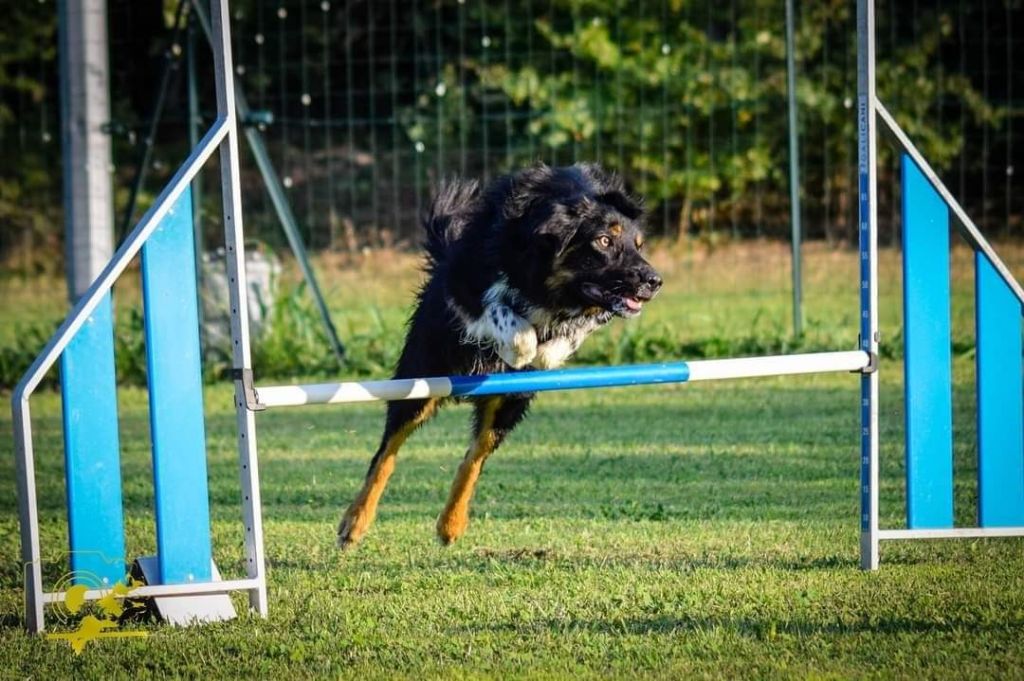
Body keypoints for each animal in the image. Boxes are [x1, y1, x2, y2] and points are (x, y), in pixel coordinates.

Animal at [335, 163, 663, 548]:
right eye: (604, 241)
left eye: (638, 245)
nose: (654, 281)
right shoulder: (465, 279)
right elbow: (500, 311)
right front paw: (519, 343)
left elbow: (569, 333)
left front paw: (547, 350)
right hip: (420, 380)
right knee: (386, 453)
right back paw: (355, 522)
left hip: (506, 406)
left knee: (473, 457)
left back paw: (451, 524)